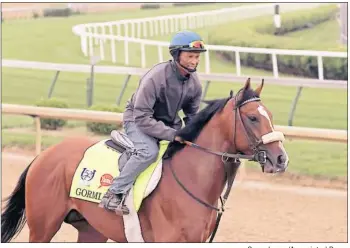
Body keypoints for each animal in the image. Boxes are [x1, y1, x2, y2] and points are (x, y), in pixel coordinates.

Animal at [1, 78, 288, 242]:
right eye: (253, 117)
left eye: (270, 115)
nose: (281, 158)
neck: (192, 181)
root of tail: (44, 155)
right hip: (42, 228)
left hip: (92, 230)